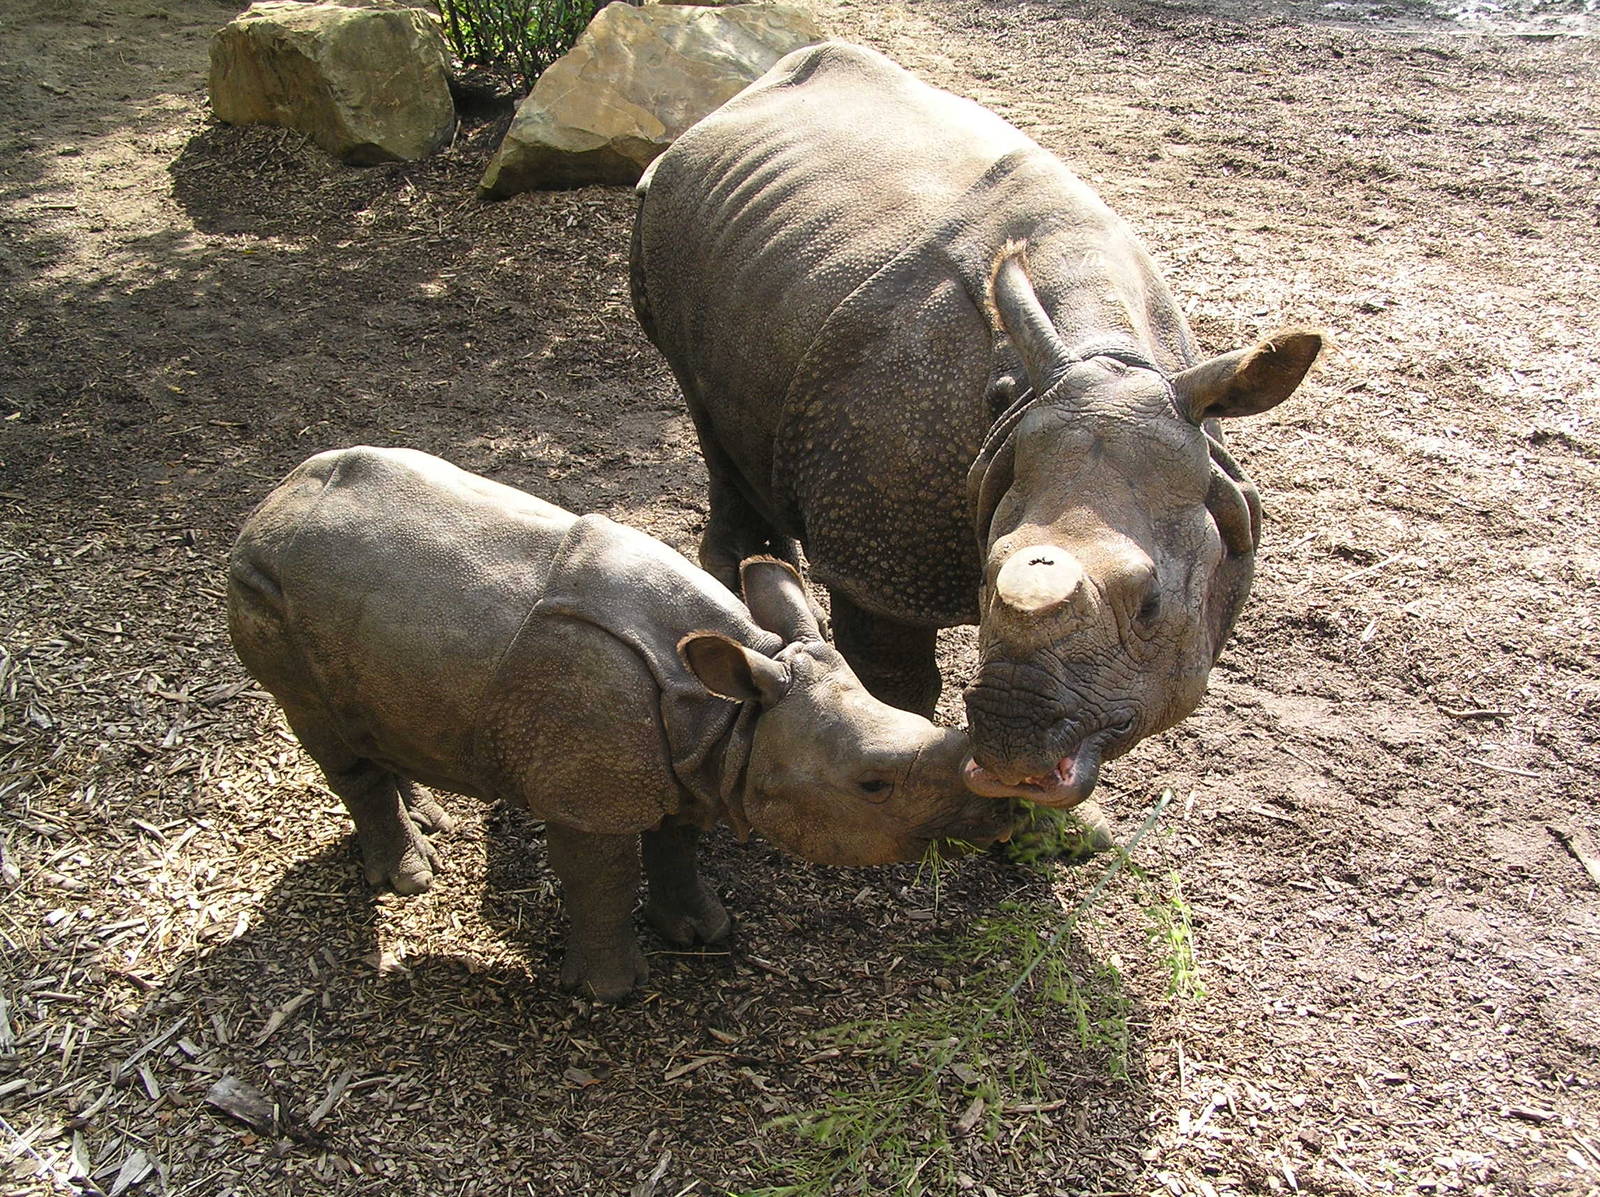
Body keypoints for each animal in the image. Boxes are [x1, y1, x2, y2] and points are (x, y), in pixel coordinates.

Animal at [227, 447, 1019, 1001]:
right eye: (873, 784)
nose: (1004, 814)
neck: (730, 708)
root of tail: (266, 505)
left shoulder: (694, 754)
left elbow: (676, 841)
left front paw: (704, 933)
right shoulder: (589, 791)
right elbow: (602, 873)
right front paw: (611, 991)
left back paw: (428, 816)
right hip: (264, 588)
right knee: (325, 733)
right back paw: (409, 878)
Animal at [630, 42, 1321, 810]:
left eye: (1151, 606)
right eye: (985, 580)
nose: (1016, 751)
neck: (1107, 359)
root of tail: (729, 104)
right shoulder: (878, 560)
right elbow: (895, 683)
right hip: (664, 216)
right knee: (705, 413)